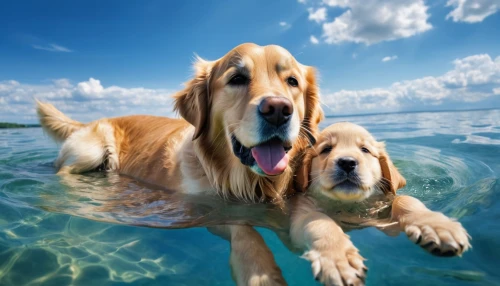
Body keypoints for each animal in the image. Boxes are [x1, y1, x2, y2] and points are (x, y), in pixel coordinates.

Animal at [290, 122, 472, 284]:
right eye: (326, 149)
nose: (347, 162)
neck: (348, 204)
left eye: (365, 150)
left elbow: (405, 199)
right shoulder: (299, 218)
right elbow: (318, 219)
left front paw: (437, 226)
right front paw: (338, 259)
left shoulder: (384, 212)